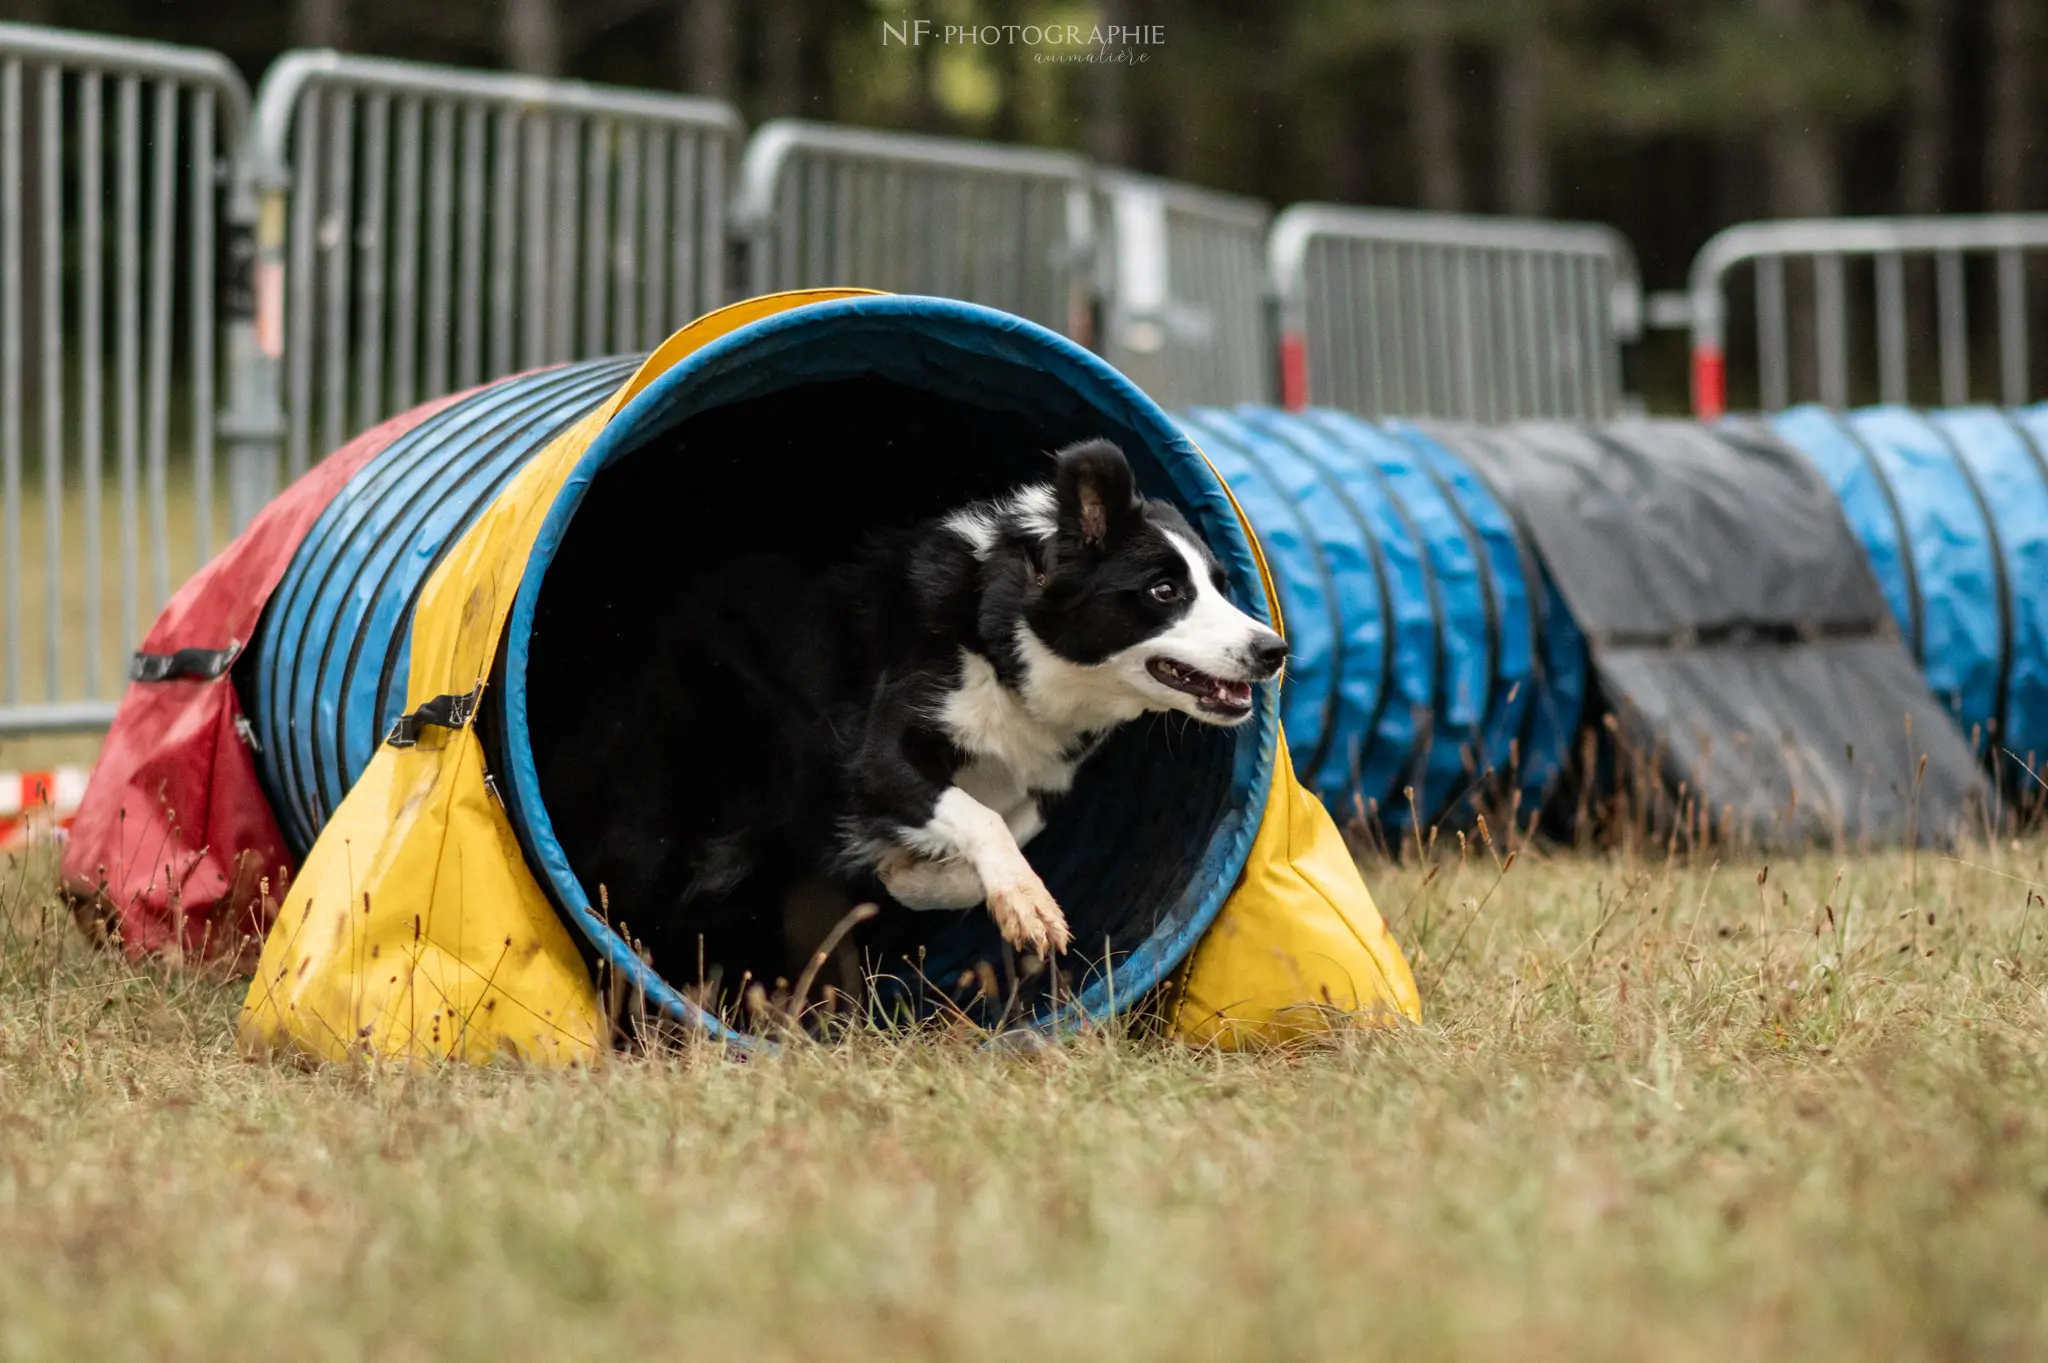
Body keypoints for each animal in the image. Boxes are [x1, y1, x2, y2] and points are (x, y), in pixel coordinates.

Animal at [552, 435, 1286, 965]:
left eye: (1222, 586)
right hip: (665, 784)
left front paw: (914, 876)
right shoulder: (880, 754)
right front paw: (1026, 904)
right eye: (1164, 591)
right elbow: (979, 817)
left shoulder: (1044, 779)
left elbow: (1009, 828)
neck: (1012, 640)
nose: (1273, 650)